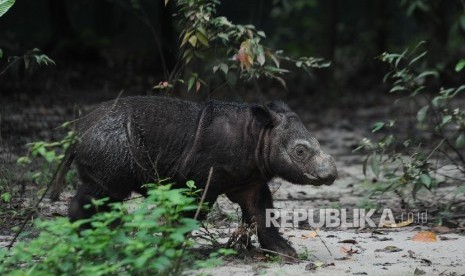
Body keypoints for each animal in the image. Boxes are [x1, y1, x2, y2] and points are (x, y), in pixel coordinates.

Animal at [50, 96, 336, 258]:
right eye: (300, 151)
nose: (331, 174)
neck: (262, 135)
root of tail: (77, 132)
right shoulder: (202, 181)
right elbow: (192, 213)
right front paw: (170, 247)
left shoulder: (249, 180)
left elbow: (261, 214)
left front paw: (286, 254)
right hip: (109, 143)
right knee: (104, 192)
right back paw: (86, 245)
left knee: (105, 198)